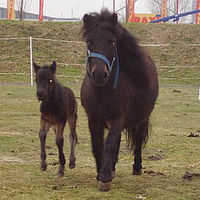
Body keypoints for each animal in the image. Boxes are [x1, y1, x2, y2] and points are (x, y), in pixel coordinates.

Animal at [80, 9, 159, 191]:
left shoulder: (117, 118)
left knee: (138, 140)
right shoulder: (93, 120)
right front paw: (101, 172)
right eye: (89, 41)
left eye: (112, 42)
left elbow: (109, 145)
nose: (99, 74)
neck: (103, 91)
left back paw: (136, 167)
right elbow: (98, 145)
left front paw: (105, 177)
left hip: (142, 119)